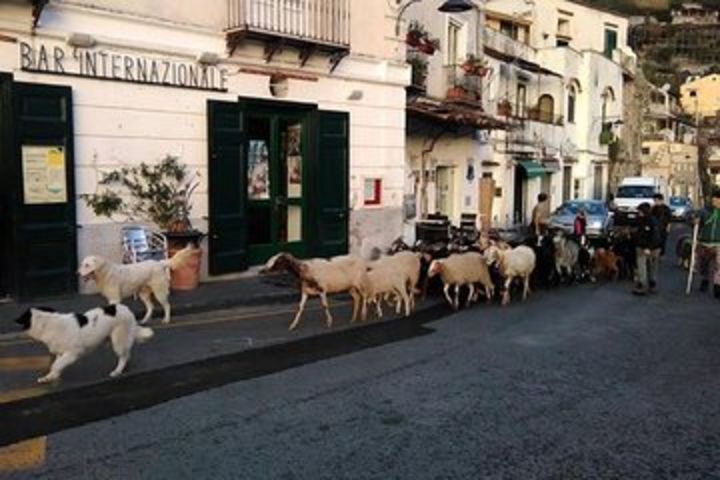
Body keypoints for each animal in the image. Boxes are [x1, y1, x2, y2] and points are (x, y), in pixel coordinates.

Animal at [15, 306, 154, 384]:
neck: (47, 323)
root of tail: (126, 309)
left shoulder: (73, 353)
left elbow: (56, 365)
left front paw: (53, 375)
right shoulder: (61, 353)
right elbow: (57, 364)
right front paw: (49, 377)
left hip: (118, 340)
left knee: (123, 356)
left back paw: (117, 371)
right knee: (127, 354)